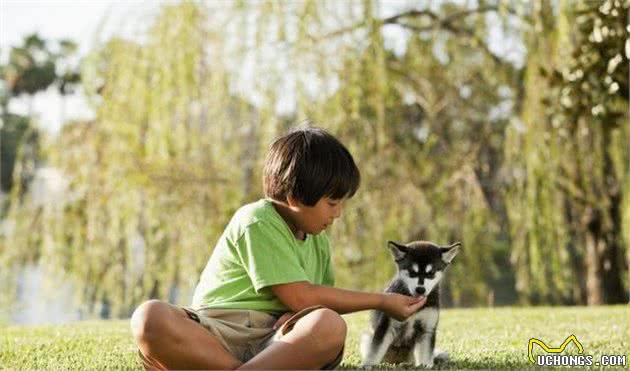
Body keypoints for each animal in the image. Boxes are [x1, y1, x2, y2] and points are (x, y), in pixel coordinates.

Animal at [362, 241, 462, 370]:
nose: (420, 289)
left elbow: (426, 354)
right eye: (412, 272)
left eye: (431, 273)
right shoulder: (387, 326)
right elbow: (375, 351)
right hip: (367, 337)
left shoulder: (427, 328)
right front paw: (367, 366)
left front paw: (426, 366)